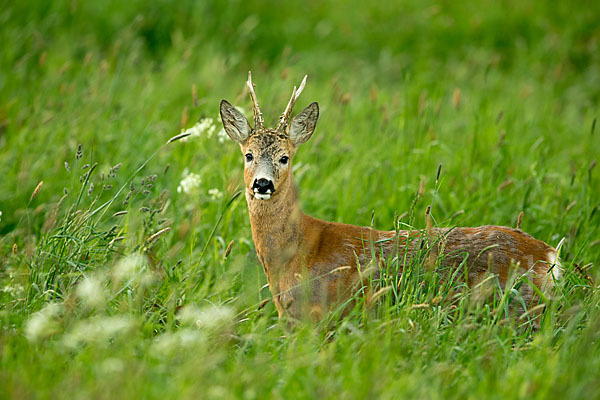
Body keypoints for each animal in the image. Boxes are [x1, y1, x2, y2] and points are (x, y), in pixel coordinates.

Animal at [220, 72, 564, 322]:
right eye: (249, 155)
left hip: (517, 307)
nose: (262, 184)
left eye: (285, 158)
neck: (301, 249)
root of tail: (549, 255)